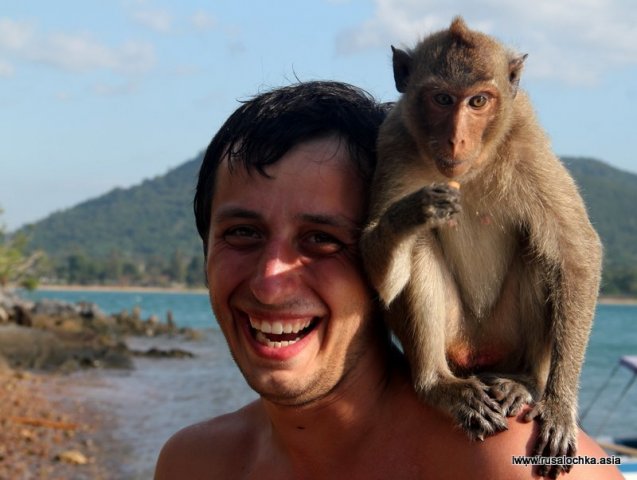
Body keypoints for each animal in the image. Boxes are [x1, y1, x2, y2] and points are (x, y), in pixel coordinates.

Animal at [362, 16, 600, 478]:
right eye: (441, 98)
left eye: (477, 101)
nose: (456, 140)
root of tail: (478, 355)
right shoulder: (394, 142)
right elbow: (381, 276)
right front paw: (414, 210)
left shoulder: (527, 141)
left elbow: (576, 253)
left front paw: (559, 407)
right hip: (456, 337)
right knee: (418, 249)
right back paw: (437, 384)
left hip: (506, 337)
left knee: (540, 251)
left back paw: (524, 382)